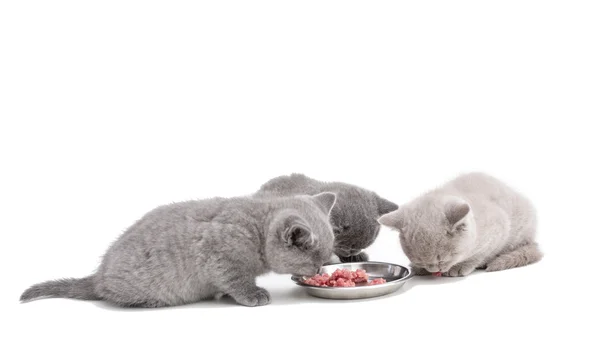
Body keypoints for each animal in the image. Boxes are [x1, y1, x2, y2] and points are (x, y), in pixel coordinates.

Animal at [19, 193, 338, 308]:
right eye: (315, 265)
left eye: (324, 262)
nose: (320, 271)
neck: (256, 228)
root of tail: (97, 276)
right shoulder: (222, 258)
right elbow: (237, 280)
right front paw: (252, 295)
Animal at [380, 173, 544, 278]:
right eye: (420, 260)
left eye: (442, 260)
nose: (434, 270)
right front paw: (419, 268)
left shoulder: (498, 231)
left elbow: (479, 255)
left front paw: (460, 267)